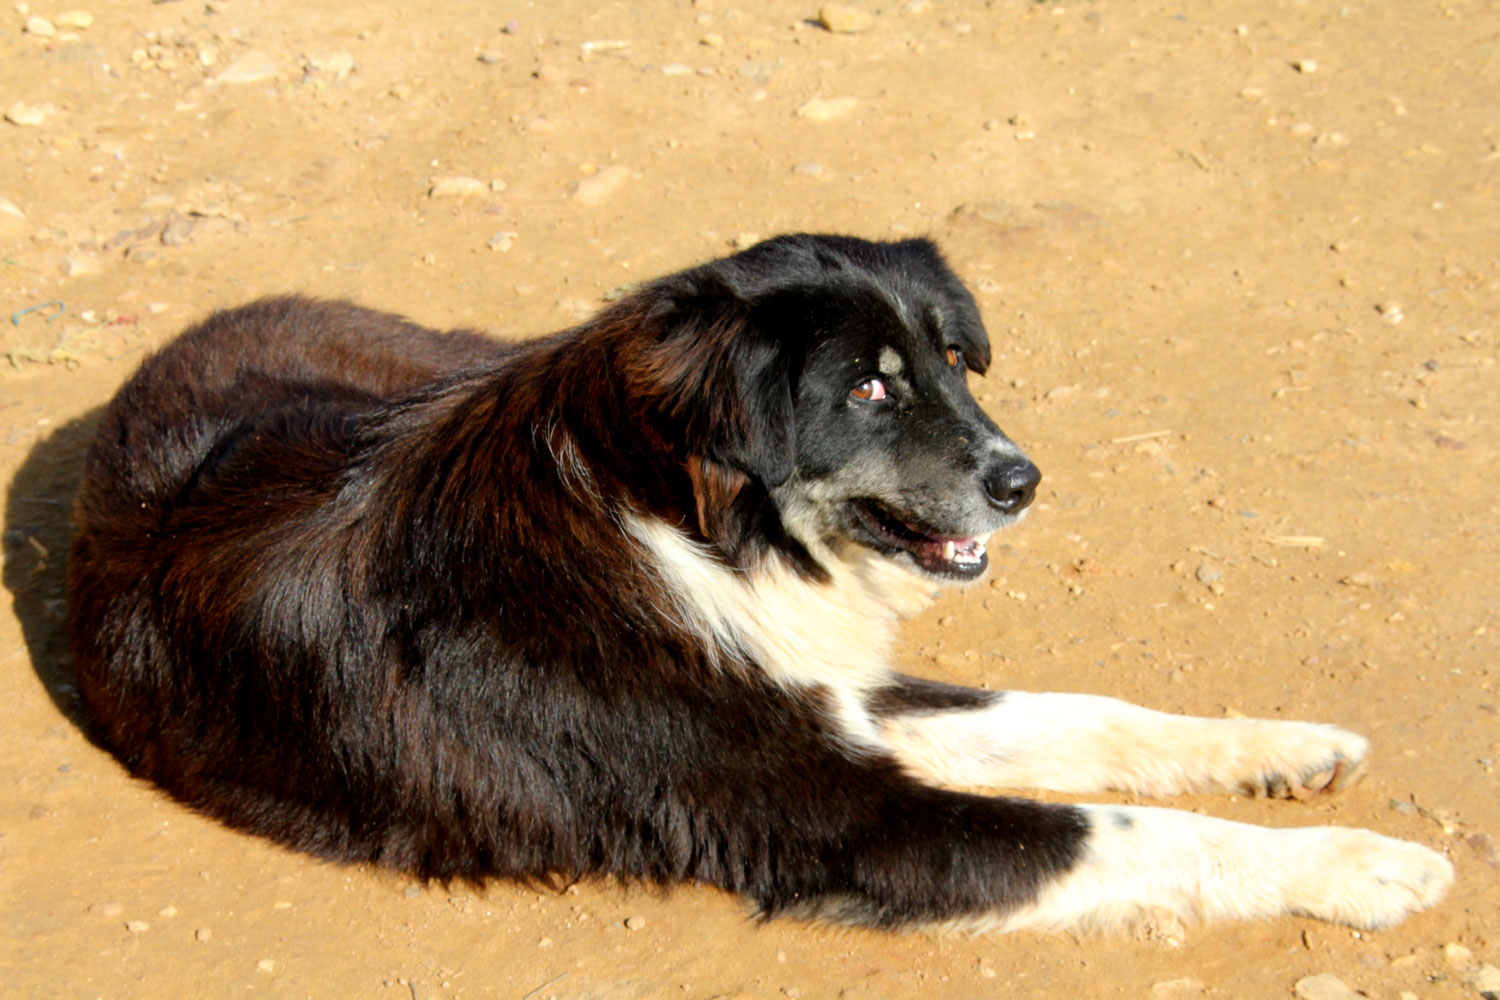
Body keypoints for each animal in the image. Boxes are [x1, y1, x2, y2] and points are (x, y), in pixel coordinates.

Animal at [61, 232, 1452, 929]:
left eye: (953, 363)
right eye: (870, 388)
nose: (1023, 481)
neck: (680, 525)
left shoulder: (825, 686)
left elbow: (1084, 718)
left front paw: (1283, 747)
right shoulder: (836, 813)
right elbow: (1115, 827)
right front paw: (1361, 867)